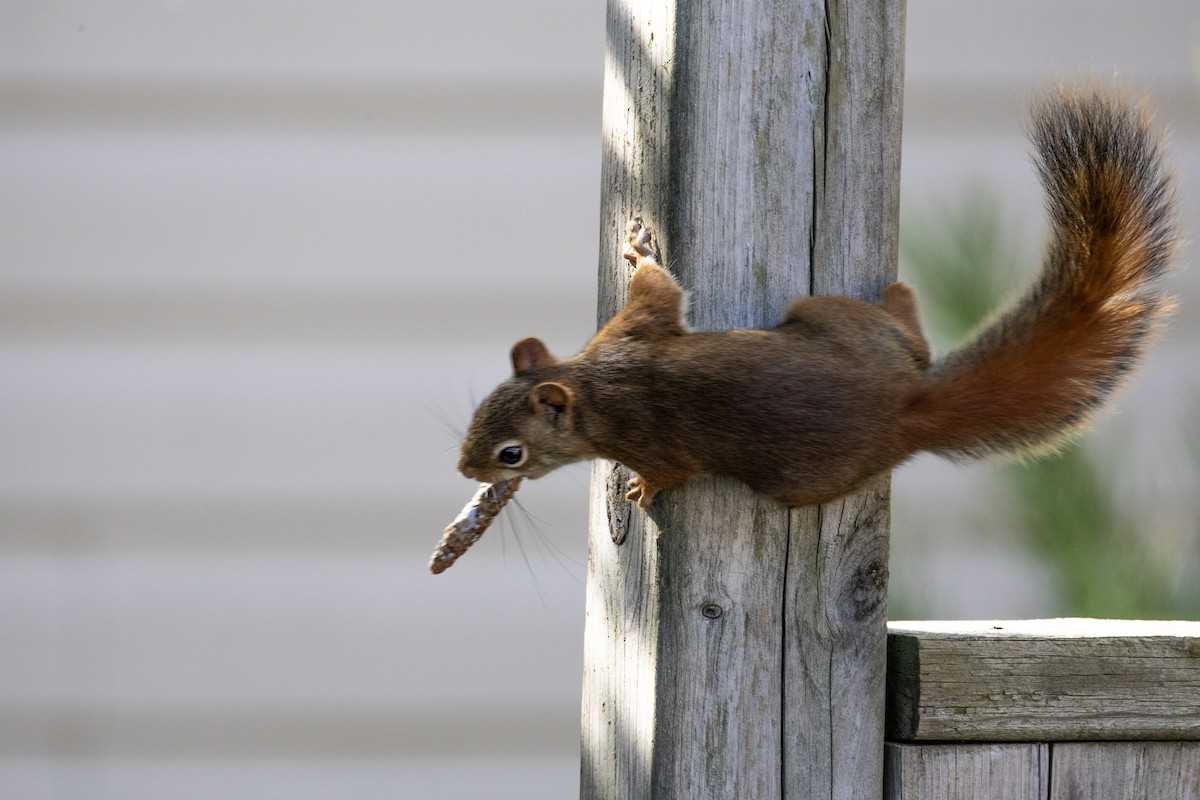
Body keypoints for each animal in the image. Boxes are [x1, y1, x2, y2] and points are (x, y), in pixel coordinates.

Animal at [457, 87, 1178, 509]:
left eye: (512, 454)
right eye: (477, 413)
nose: (466, 470)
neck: (595, 385)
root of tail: (904, 407)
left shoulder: (645, 415)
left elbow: (669, 464)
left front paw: (640, 490)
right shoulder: (629, 331)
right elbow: (660, 294)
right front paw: (638, 249)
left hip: (798, 478)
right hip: (831, 316)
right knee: (909, 339)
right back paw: (901, 296)